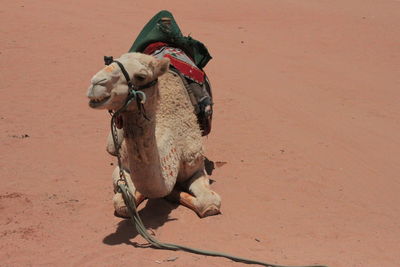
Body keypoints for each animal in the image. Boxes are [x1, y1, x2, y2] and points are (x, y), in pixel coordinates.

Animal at [86, 52, 222, 220]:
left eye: (141, 76)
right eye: (110, 61)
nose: (95, 83)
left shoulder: (195, 164)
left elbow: (210, 203)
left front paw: (173, 193)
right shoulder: (122, 165)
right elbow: (122, 203)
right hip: (112, 142)